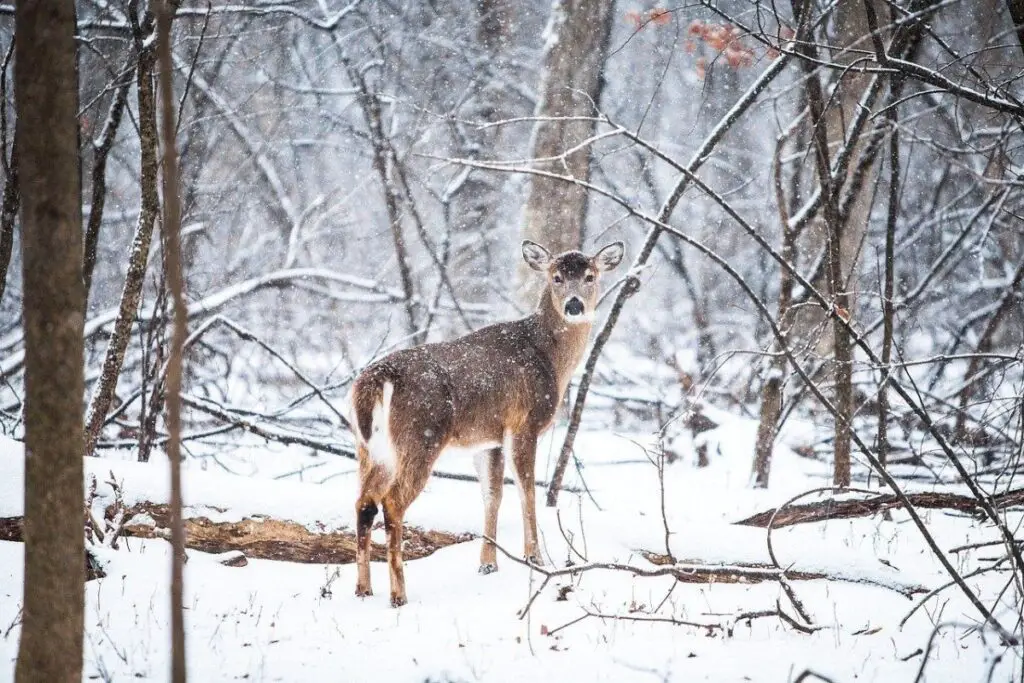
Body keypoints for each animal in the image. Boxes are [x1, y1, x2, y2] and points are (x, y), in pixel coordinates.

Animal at [350, 239, 622, 602]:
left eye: (590, 276)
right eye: (557, 277)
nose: (574, 305)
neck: (550, 358)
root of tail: (377, 379)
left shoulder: (488, 438)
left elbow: (492, 495)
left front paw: (488, 564)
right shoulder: (524, 423)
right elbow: (526, 491)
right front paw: (534, 557)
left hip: (370, 448)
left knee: (364, 502)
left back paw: (363, 589)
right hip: (420, 436)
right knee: (391, 502)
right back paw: (399, 595)